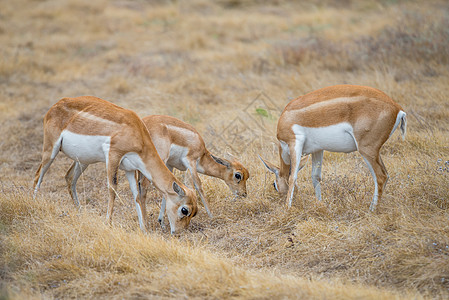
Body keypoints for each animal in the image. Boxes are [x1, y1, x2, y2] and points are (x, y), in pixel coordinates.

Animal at [32, 96, 197, 234]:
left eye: (195, 212)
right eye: (185, 210)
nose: (179, 232)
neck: (136, 132)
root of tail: (56, 105)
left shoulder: (130, 169)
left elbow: (137, 195)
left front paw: (144, 229)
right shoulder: (113, 155)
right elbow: (113, 188)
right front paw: (108, 223)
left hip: (83, 160)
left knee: (69, 177)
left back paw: (80, 213)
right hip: (51, 150)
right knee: (38, 175)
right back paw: (33, 204)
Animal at [258, 84, 404, 211]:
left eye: (274, 185)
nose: (280, 198)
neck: (287, 116)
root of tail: (397, 108)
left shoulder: (295, 142)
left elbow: (292, 177)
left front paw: (287, 208)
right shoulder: (318, 149)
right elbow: (315, 177)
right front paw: (319, 204)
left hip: (366, 149)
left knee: (381, 176)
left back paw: (371, 210)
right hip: (375, 151)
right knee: (386, 175)